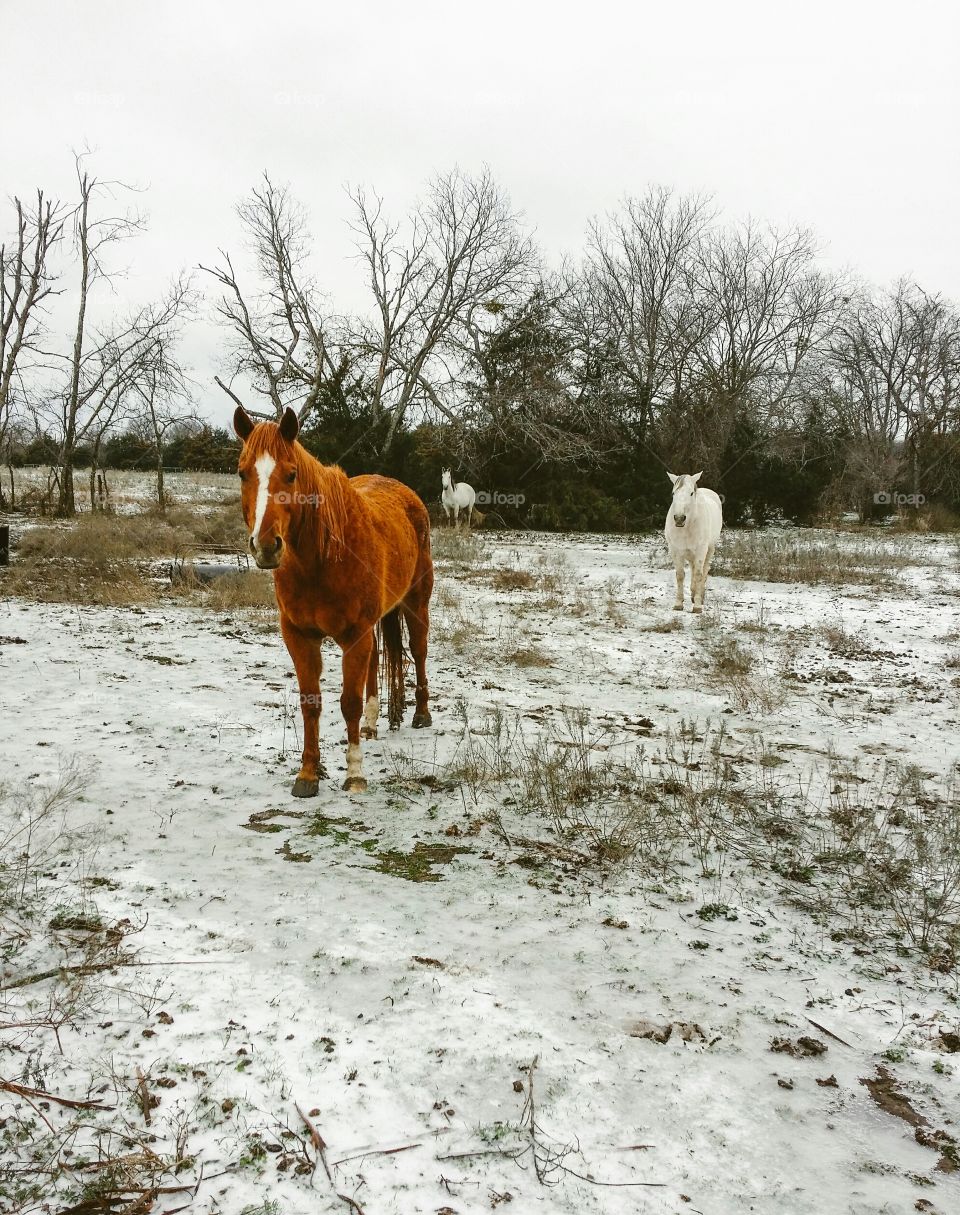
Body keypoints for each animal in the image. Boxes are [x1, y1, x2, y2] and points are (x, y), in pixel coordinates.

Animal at [233, 403, 432, 792]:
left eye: (292, 475)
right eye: (242, 473)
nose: (266, 546)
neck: (320, 560)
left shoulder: (354, 634)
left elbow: (348, 702)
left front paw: (354, 774)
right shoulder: (299, 635)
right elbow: (311, 702)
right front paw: (308, 774)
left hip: (416, 604)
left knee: (418, 651)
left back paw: (421, 714)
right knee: (376, 662)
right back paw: (371, 724)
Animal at [665, 468, 724, 612]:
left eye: (691, 493)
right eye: (673, 493)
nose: (679, 518)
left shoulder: (701, 549)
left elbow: (698, 574)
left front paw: (697, 605)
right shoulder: (675, 550)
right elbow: (680, 575)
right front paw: (678, 603)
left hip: (709, 549)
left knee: (705, 569)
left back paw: (700, 596)